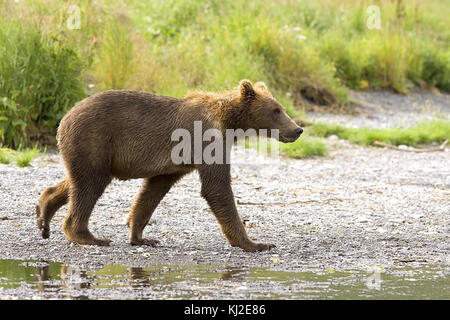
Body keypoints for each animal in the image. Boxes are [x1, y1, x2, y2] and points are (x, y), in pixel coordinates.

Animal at [36, 79, 302, 251]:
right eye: (276, 110)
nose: (297, 129)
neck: (229, 123)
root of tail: (65, 117)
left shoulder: (175, 163)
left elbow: (152, 191)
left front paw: (141, 236)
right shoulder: (206, 140)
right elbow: (217, 188)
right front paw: (255, 243)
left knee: (75, 181)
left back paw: (44, 215)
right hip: (95, 140)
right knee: (89, 185)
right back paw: (88, 236)